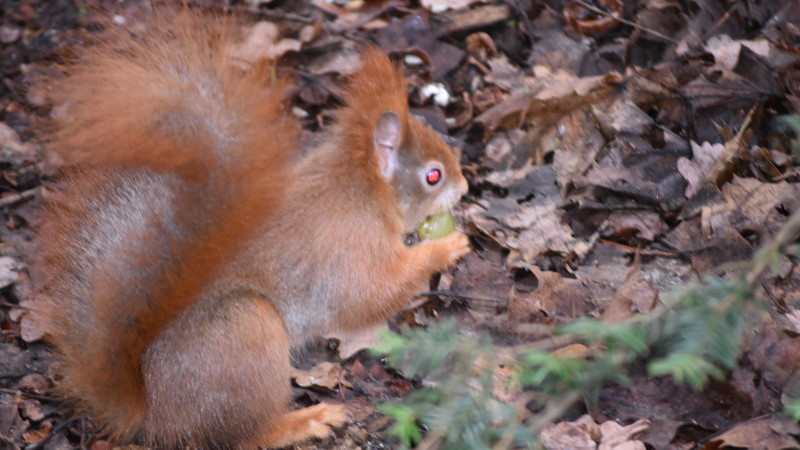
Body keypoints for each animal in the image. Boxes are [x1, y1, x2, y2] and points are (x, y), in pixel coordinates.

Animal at [34, 7, 472, 450]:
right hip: (245, 331)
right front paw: (447, 247)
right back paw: (304, 421)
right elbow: (371, 294)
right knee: (247, 435)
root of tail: (155, 415)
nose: (467, 187)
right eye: (433, 176)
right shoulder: (350, 246)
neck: (361, 188)